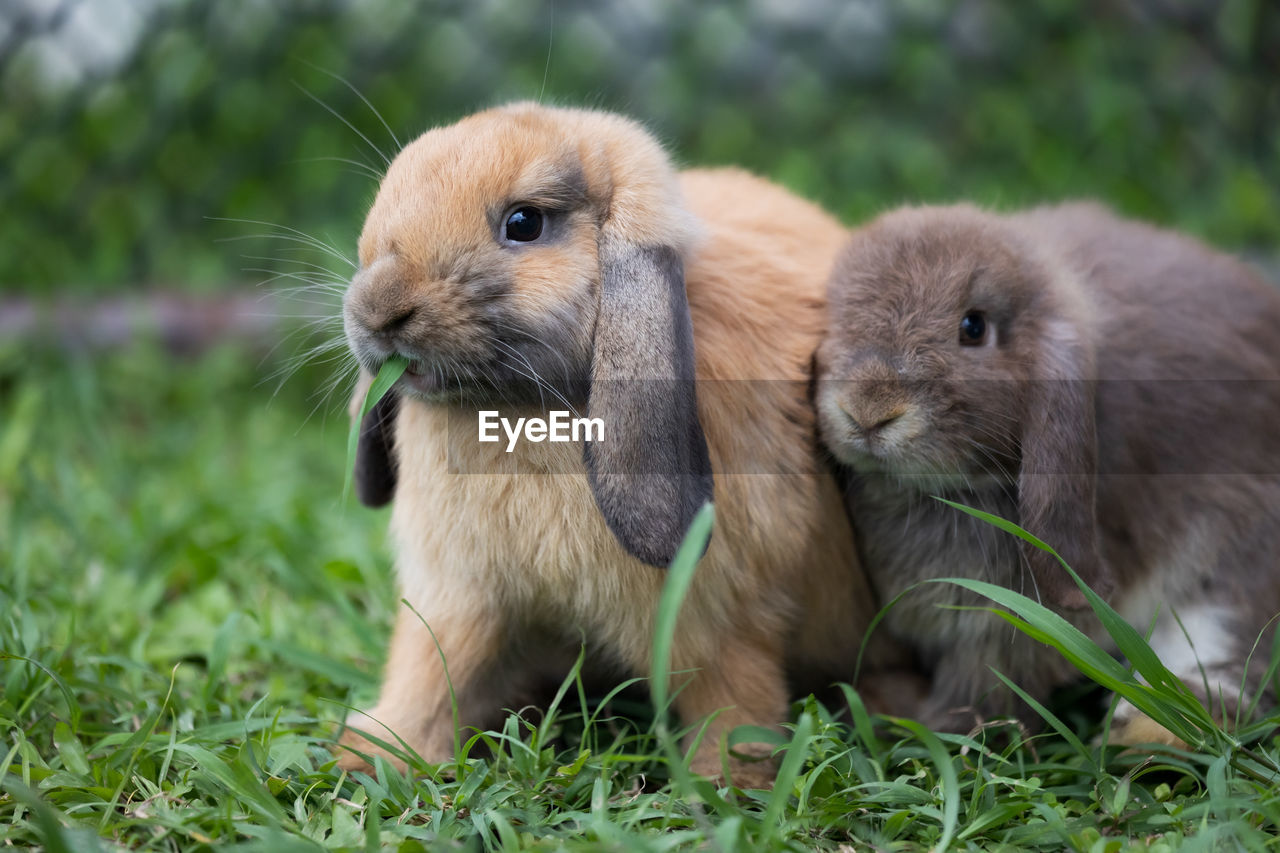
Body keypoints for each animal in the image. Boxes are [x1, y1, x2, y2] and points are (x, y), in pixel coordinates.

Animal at [340, 101, 901, 783]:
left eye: (524, 223)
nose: (378, 311)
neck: (518, 409)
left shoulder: (717, 622)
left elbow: (733, 703)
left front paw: (723, 785)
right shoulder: (458, 602)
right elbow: (430, 676)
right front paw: (372, 755)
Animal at [814, 202, 1280, 742]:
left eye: (973, 327)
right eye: (830, 315)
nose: (867, 410)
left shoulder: (1006, 627)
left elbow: (981, 689)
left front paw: (925, 725)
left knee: (1225, 657)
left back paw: (1141, 734)